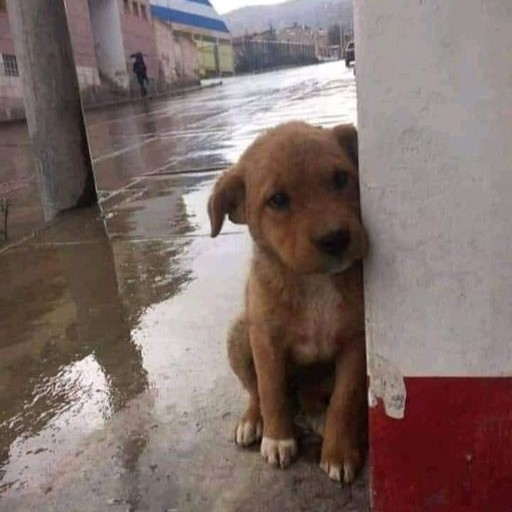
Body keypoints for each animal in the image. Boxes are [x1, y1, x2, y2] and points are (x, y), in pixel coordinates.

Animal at [208, 121, 368, 484]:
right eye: (278, 200)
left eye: (341, 178)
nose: (336, 238)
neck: (312, 282)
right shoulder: (266, 340)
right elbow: (271, 389)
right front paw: (278, 439)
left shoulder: (356, 342)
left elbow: (344, 399)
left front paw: (338, 453)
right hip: (240, 332)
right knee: (257, 391)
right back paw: (253, 421)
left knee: (312, 398)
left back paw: (317, 416)